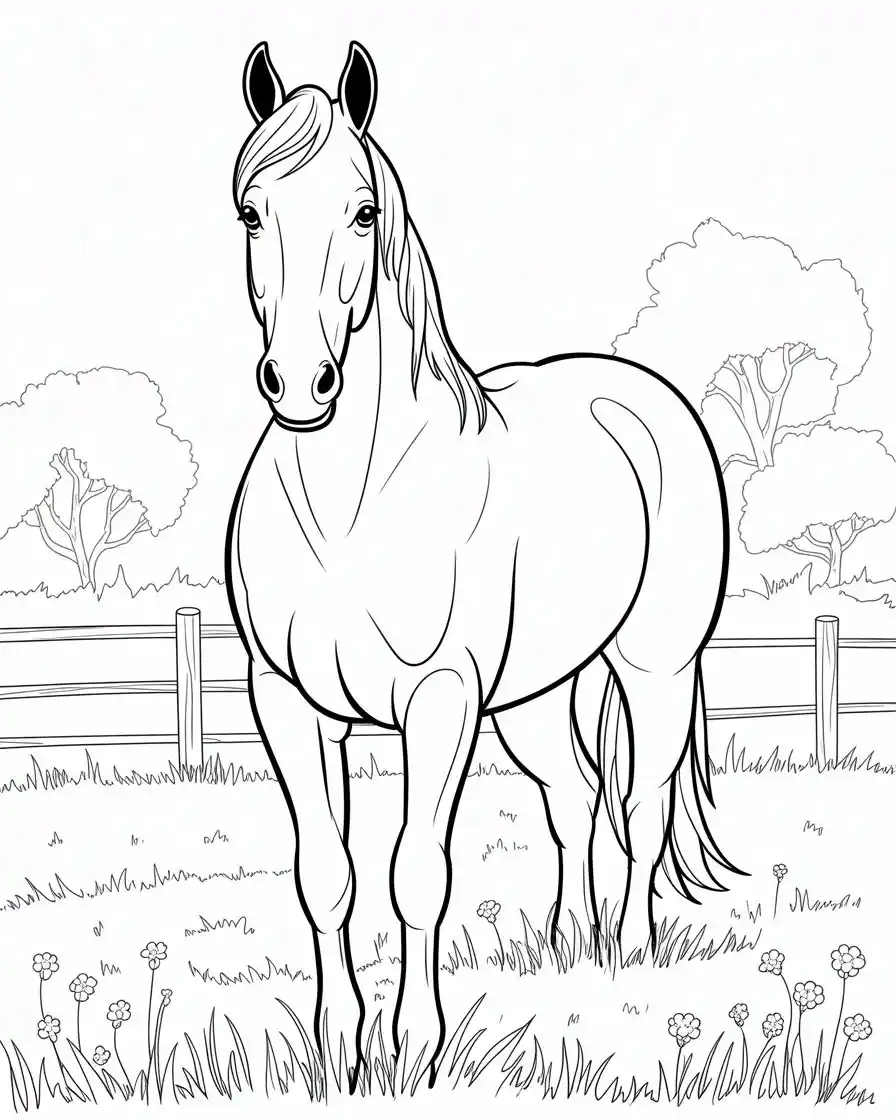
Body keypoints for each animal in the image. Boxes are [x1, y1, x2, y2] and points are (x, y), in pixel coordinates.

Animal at [225, 39, 743, 1081]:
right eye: (252, 212)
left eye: (363, 211)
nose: (300, 385)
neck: (351, 507)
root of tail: (640, 397)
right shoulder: (288, 703)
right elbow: (326, 874)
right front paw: (338, 1050)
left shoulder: (438, 703)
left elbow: (417, 872)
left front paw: (415, 1051)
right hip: (533, 697)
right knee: (575, 797)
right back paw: (568, 944)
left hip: (655, 670)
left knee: (640, 806)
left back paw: (630, 955)